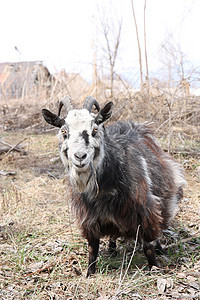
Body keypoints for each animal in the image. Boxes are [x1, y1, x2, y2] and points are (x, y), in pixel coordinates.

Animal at [42, 96, 186, 276]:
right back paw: (112, 247)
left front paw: (155, 268)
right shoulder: (89, 218)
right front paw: (90, 273)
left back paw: (159, 247)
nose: (80, 157)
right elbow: (93, 249)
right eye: (64, 131)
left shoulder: (145, 211)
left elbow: (148, 246)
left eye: (94, 129)